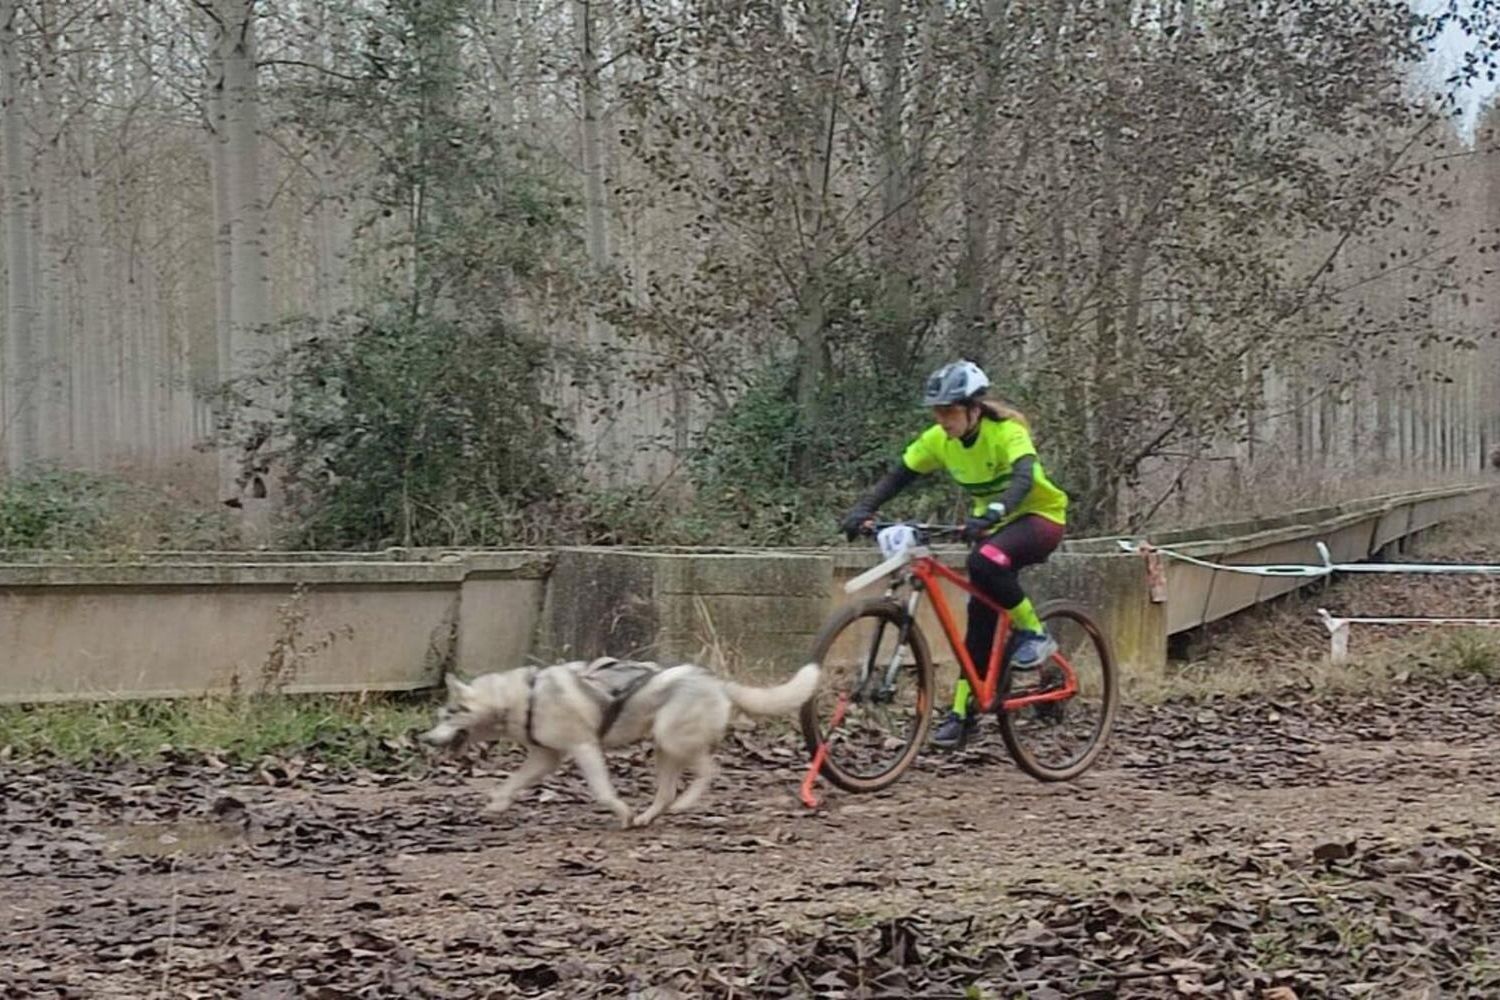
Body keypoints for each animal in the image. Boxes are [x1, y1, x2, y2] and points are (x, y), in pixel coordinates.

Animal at [420, 656, 822, 827]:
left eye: (447, 715)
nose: (423, 739)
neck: (525, 695)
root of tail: (716, 681)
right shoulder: (545, 758)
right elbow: (510, 782)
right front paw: (497, 804)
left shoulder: (584, 749)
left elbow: (602, 792)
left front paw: (621, 811)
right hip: (664, 749)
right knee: (667, 792)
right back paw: (647, 817)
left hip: (672, 739)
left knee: (710, 770)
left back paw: (679, 805)